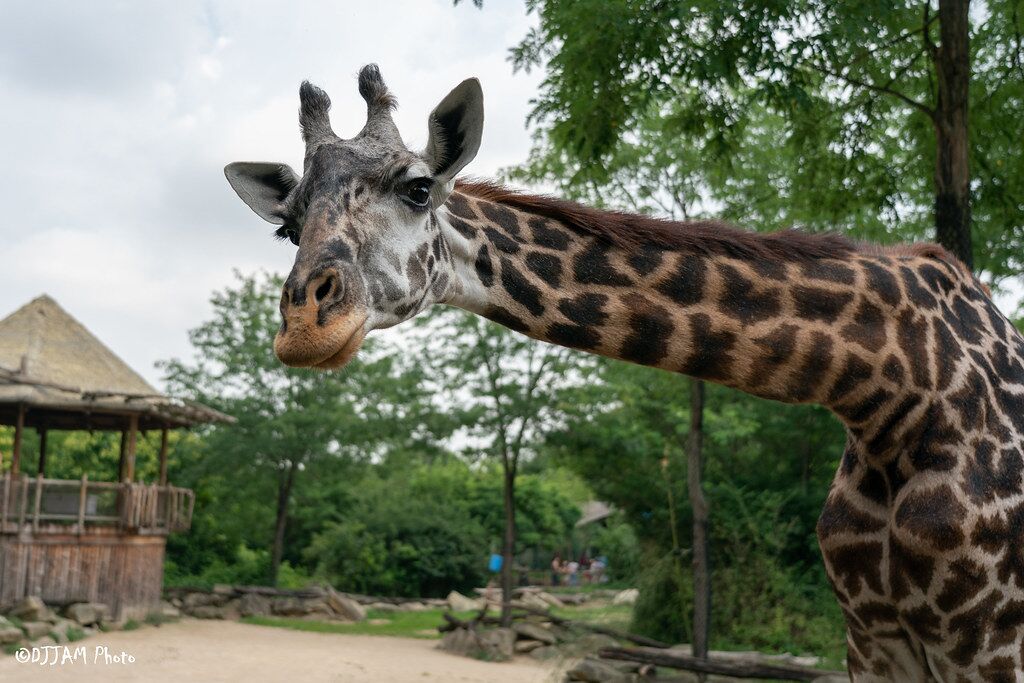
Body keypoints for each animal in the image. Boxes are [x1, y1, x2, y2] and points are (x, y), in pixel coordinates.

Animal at [225, 65, 1024, 682]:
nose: (305, 327)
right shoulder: (874, 638)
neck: (890, 391)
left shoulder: (987, 645)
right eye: (287, 226)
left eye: (419, 188)